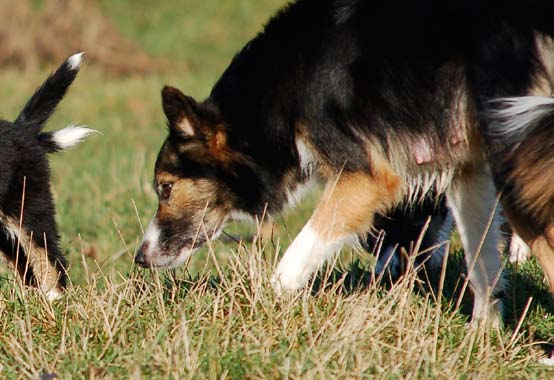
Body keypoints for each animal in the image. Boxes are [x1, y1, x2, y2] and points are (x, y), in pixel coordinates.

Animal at [136, 0, 552, 328]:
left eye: (166, 187)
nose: (140, 258)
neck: (282, 92)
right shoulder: (468, 172)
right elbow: (483, 265)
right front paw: (481, 340)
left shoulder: (366, 179)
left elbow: (292, 262)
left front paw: (258, 312)